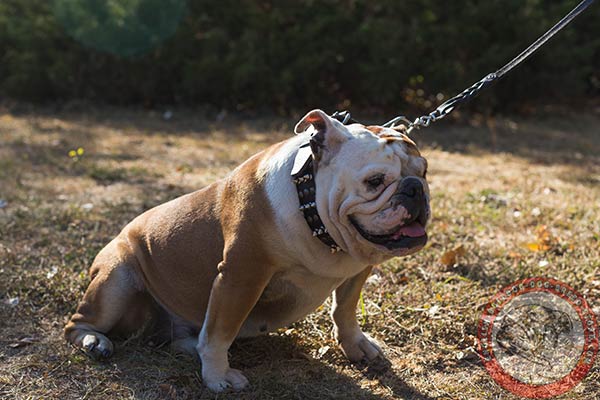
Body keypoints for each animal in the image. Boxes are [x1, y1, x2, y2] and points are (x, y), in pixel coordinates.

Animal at [64, 111, 432, 392]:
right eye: (375, 181)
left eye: (424, 171)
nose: (415, 189)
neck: (312, 211)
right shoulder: (241, 277)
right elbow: (220, 332)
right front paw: (218, 376)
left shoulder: (356, 270)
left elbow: (345, 310)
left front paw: (357, 345)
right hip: (116, 279)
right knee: (77, 323)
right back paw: (95, 342)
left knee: (180, 336)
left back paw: (188, 346)